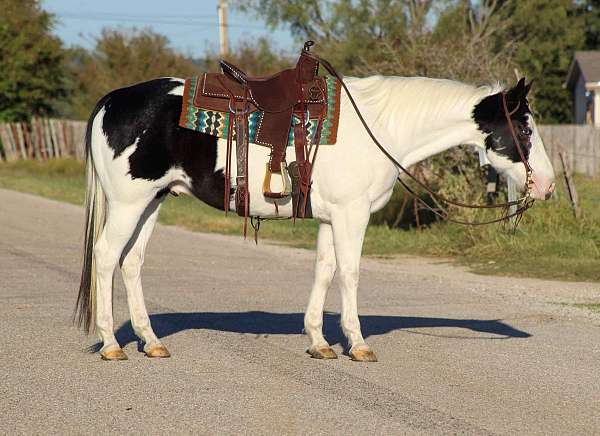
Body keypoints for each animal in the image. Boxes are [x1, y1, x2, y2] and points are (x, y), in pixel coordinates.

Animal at [76, 75, 556, 362]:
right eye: (525, 129)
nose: (547, 186)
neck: (380, 129)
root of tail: (112, 101)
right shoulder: (351, 215)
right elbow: (350, 273)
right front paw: (357, 344)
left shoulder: (330, 219)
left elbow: (324, 271)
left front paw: (320, 342)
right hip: (128, 204)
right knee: (106, 257)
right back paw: (112, 345)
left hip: (151, 202)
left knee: (131, 263)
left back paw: (151, 342)